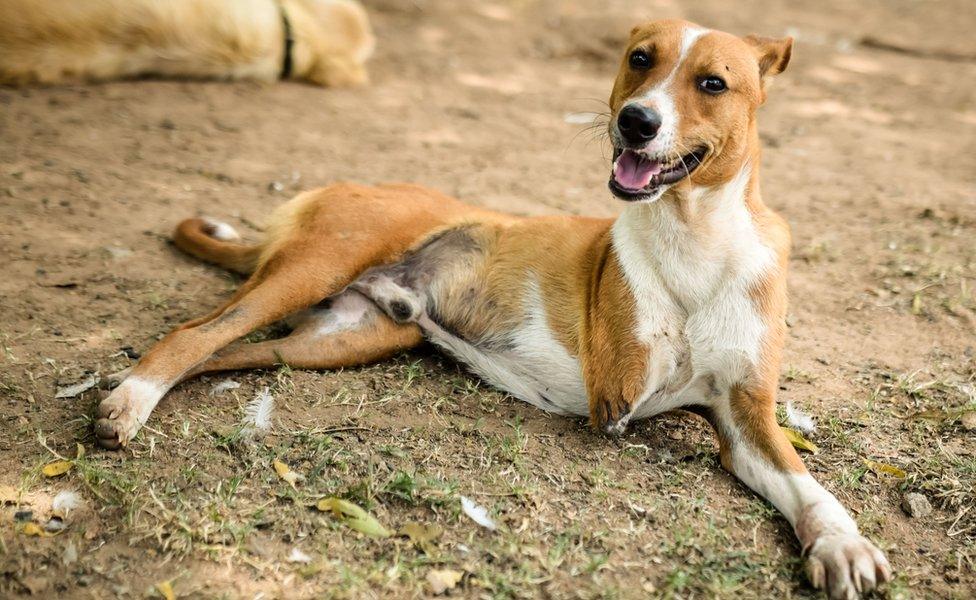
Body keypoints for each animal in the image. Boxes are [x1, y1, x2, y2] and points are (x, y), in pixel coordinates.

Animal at [93, 19, 892, 600]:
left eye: (712, 83)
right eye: (639, 59)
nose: (636, 122)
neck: (701, 230)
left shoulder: (744, 414)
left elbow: (807, 483)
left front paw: (843, 542)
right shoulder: (619, 388)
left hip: (329, 342)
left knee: (220, 350)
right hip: (310, 271)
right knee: (192, 332)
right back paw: (131, 401)